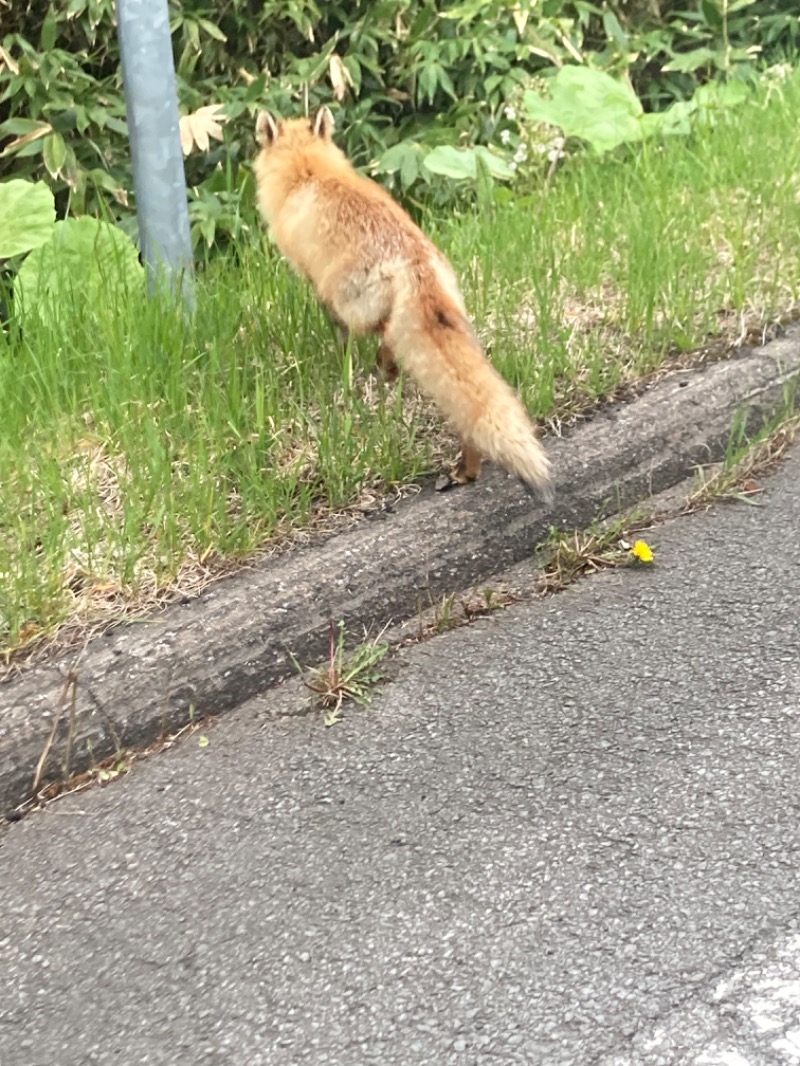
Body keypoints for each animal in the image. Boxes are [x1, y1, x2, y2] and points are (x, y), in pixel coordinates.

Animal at [254, 106, 550, 496]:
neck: (308, 172)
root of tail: (414, 260)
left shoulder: (320, 288)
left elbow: (340, 337)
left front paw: (345, 372)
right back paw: (465, 468)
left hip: (361, 307)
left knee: (386, 340)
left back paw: (384, 374)